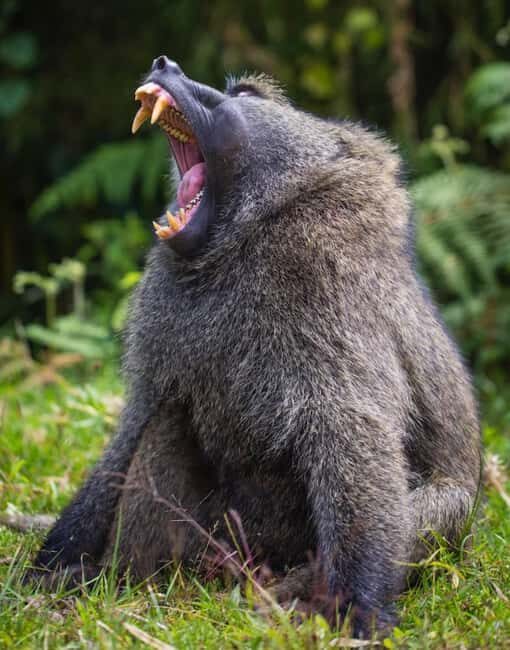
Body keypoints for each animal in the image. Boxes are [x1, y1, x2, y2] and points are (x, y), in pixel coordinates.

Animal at [31, 56, 481, 637]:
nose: (165, 63)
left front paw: (358, 610)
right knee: (167, 422)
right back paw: (127, 582)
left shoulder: (322, 276)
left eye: (243, 94)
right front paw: (54, 562)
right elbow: (139, 418)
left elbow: (352, 427)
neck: (245, 236)